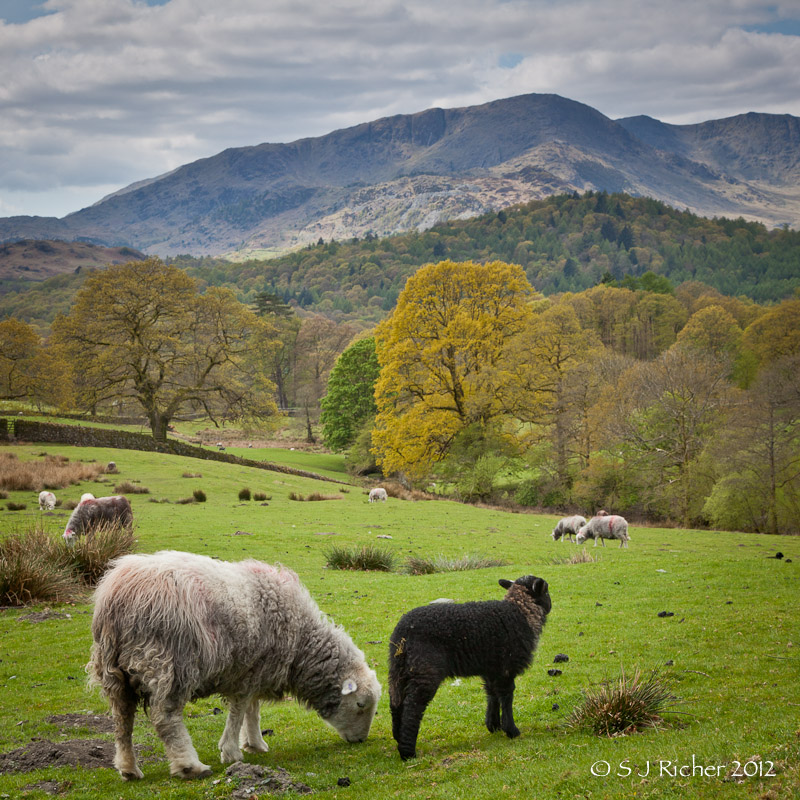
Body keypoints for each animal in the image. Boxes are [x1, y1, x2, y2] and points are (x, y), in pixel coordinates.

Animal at [87, 552, 382, 780]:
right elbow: (239, 710)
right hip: (169, 663)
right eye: (360, 704)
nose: (360, 741)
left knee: (122, 719)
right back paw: (190, 766)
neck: (302, 642)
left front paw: (254, 743)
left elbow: (253, 710)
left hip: (114, 670)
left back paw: (129, 769)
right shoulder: (247, 672)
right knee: (165, 718)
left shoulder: (259, 669)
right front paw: (231, 751)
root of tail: (118, 595)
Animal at [388, 576, 552, 756]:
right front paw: (511, 730)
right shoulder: (506, 667)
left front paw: (493, 725)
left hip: (399, 669)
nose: (550, 605)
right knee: (412, 707)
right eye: (546, 592)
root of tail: (402, 634)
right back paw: (407, 752)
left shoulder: (492, 668)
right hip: (424, 669)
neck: (520, 613)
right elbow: (506, 696)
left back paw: (398, 737)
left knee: (396, 702)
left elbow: (492, 693)